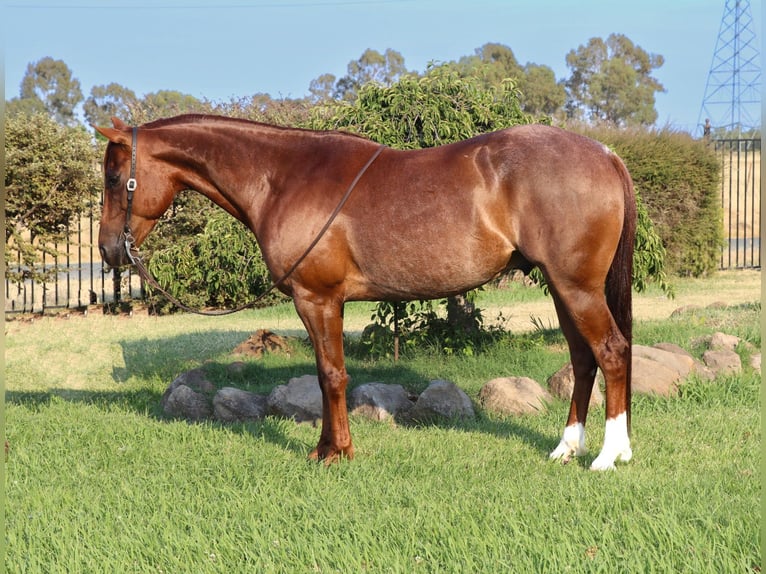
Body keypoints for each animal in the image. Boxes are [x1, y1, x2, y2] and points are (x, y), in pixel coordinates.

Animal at [94, 113, 636, 472]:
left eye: (114, 177)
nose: (108, 250)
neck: (284, 178)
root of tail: (606, 154)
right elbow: (324, 375)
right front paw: (323, 447)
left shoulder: (317, 299)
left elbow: (332, 375)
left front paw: (337, 453)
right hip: (563, 289)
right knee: (583, 360)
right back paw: (567, 448)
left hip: (576, 288)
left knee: (611, 352)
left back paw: (609, 455)